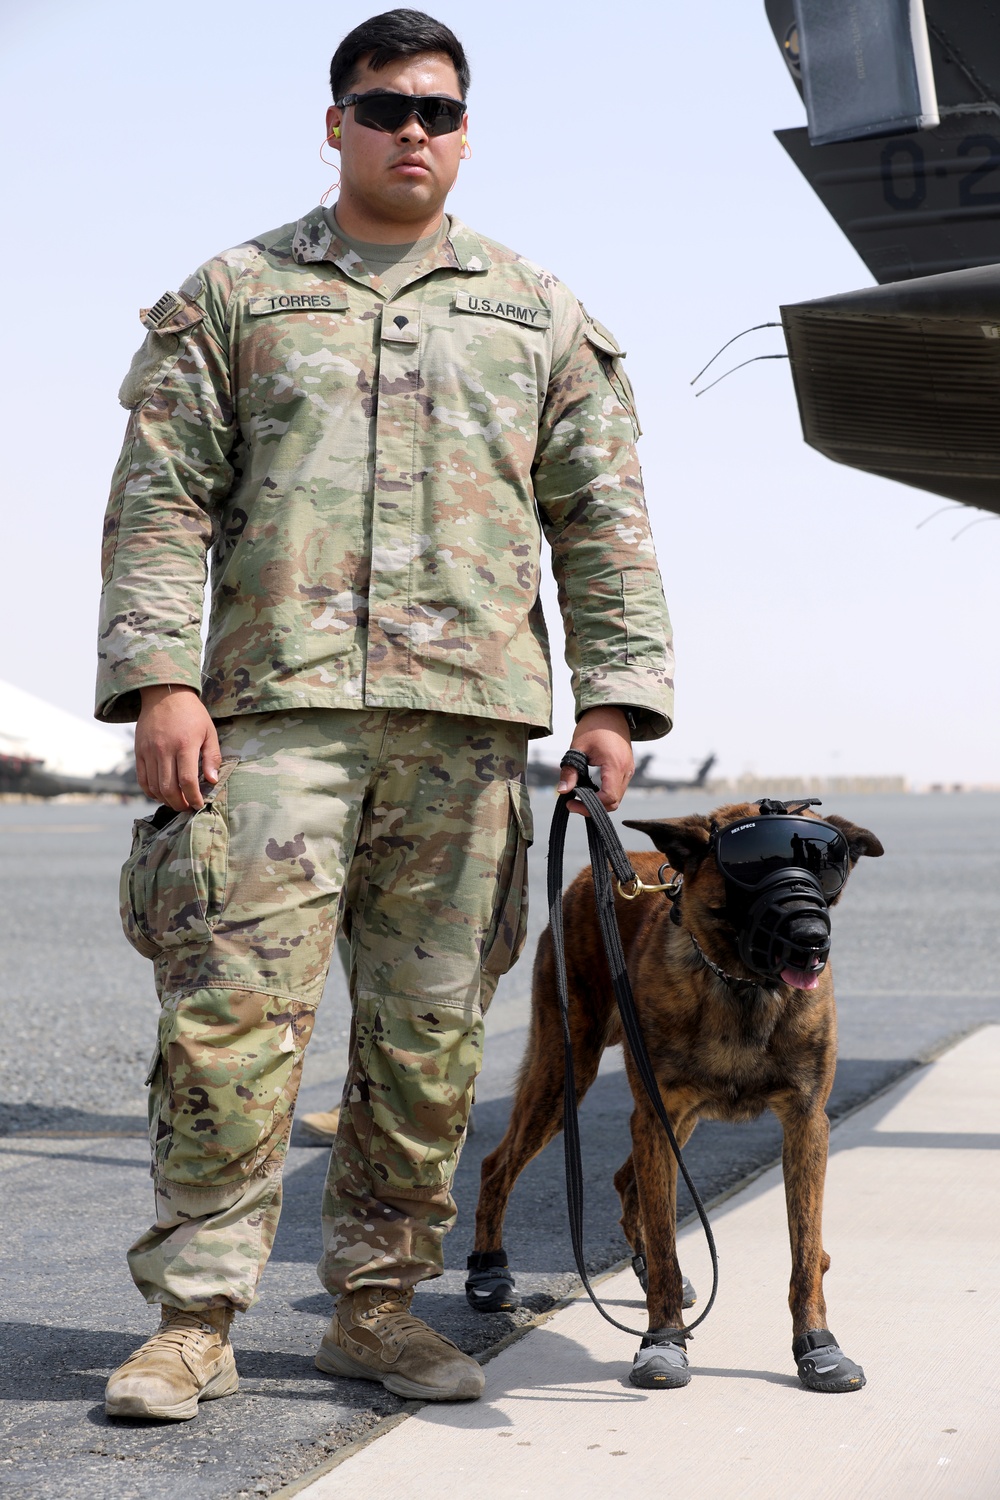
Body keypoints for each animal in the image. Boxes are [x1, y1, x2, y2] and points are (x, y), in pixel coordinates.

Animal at [464, 804, 881, 1386]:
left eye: (826, 865)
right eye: (750, 866)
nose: (811, 937)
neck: (740, 984)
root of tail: (590, 874)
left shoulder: (806, 1122)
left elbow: (805, 1250)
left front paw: (816, 1343)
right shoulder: (655, 1114)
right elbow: (666, 1245)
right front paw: (663, 1339)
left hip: (672, 1119)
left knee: (626, 1180)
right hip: (566, 1073)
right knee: (497, 1166)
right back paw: (489, 1269)